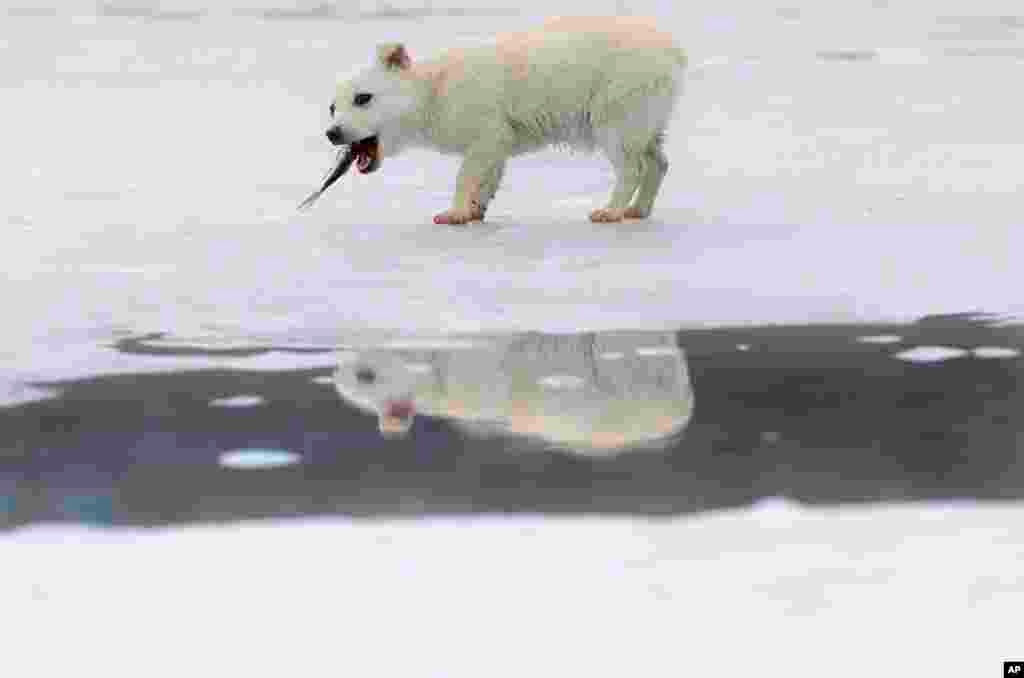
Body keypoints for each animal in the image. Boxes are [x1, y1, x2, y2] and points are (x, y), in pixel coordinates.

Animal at [317, 16, 688, 225]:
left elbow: (465, 175)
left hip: (616, 116)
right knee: (659, 162)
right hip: (646, 121)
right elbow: (488, 177)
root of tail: (673, 52)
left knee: (632, 168)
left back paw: (610, 211)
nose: (332, 134)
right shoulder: (498, 142)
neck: (433, 91)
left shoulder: (487, 132)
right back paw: (638, 210)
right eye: (333, 107)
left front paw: (454, 213)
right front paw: (474, 211)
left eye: (363, 98)